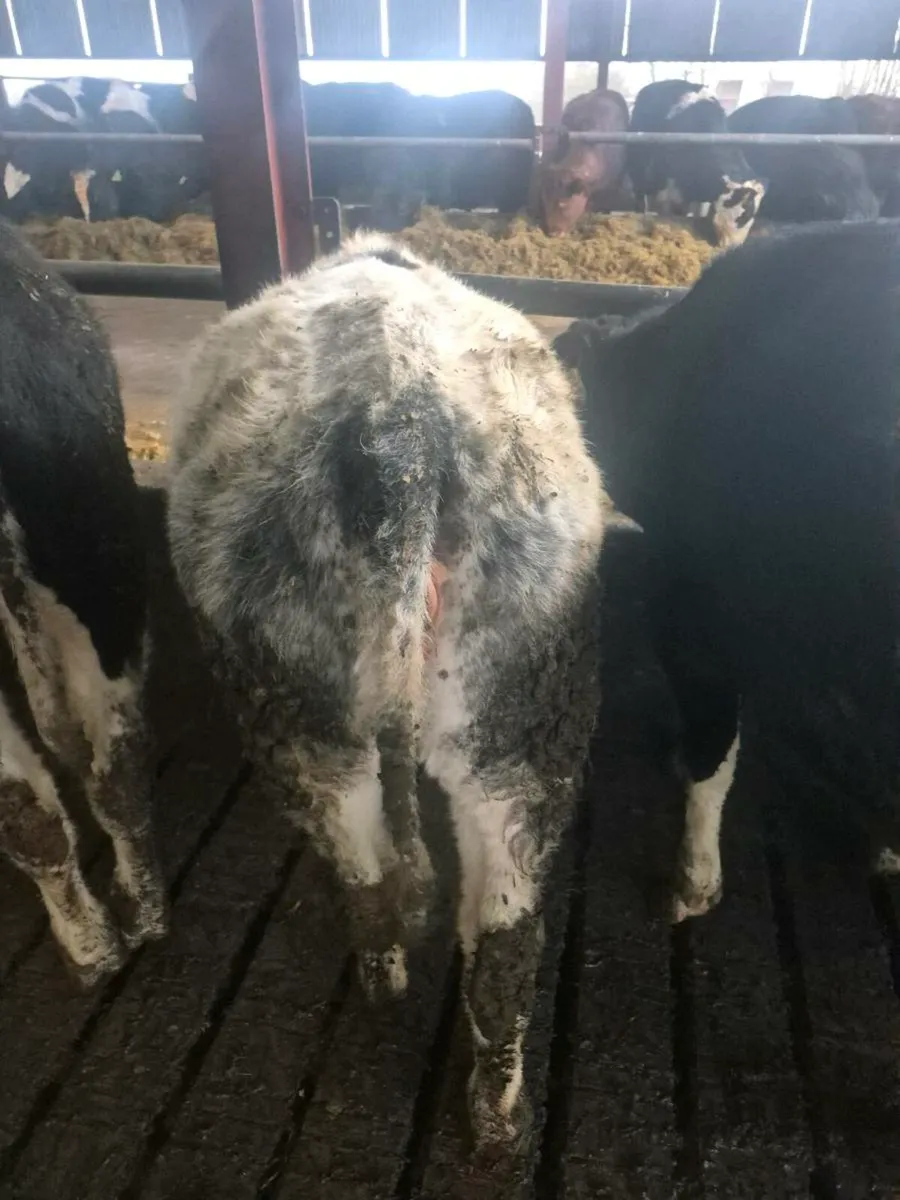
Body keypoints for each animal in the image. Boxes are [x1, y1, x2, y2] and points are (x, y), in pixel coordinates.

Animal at [166, 232, 607, 1150]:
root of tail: (397, 429)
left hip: (301, 709)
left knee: (363, 858)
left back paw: (387, 986)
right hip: (518, 713)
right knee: (503, 930)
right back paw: (496, 1121)